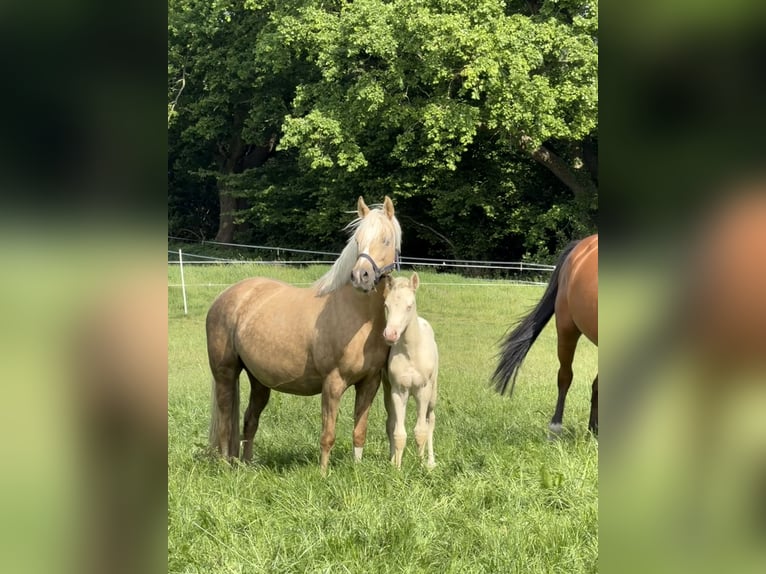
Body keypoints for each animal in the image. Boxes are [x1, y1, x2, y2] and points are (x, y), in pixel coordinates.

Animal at [206, 196, 402, 472]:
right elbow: (328, 434)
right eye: (357, 240)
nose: (360, 276)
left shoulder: (369, 383)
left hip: (259, 381)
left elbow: (359, 432)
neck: (358, 316)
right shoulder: (333, 383)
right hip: (225, 373)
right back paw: (226, 466)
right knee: (225, 423)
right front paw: (323, 474)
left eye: (385, 240)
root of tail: (225, 296)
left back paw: (247, 465)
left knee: (249, 420)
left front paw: (356, 470)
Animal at [381, 272, 439, 468]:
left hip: (433, 393)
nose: (390, 335)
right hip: (387, 392)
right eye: (386, 305)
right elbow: (398, 433)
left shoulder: (423, 390)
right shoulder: (399, 391)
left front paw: (420, 465)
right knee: (391, 422)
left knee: (430, 420)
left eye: (409, 306)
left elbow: (421, 430)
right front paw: (396, 467)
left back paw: (430, 461)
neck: (411, 352)